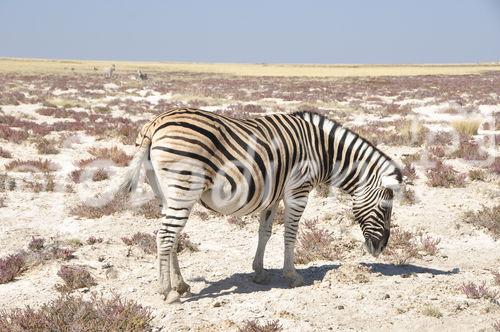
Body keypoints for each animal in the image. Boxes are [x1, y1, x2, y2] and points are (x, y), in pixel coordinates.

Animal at [120, 107, 402, 302]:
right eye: (385, 208)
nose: (380, 249)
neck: (323, 151)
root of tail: (156, 123)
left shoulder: (273, 194)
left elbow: (264, 232)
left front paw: (259, 272)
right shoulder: (298, 191)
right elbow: (290, 234)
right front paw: (292, 275)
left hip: (166, 193)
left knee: (172, 235)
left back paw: (180, 285)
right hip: (184, 187)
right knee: (166, 236)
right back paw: (168, 292)